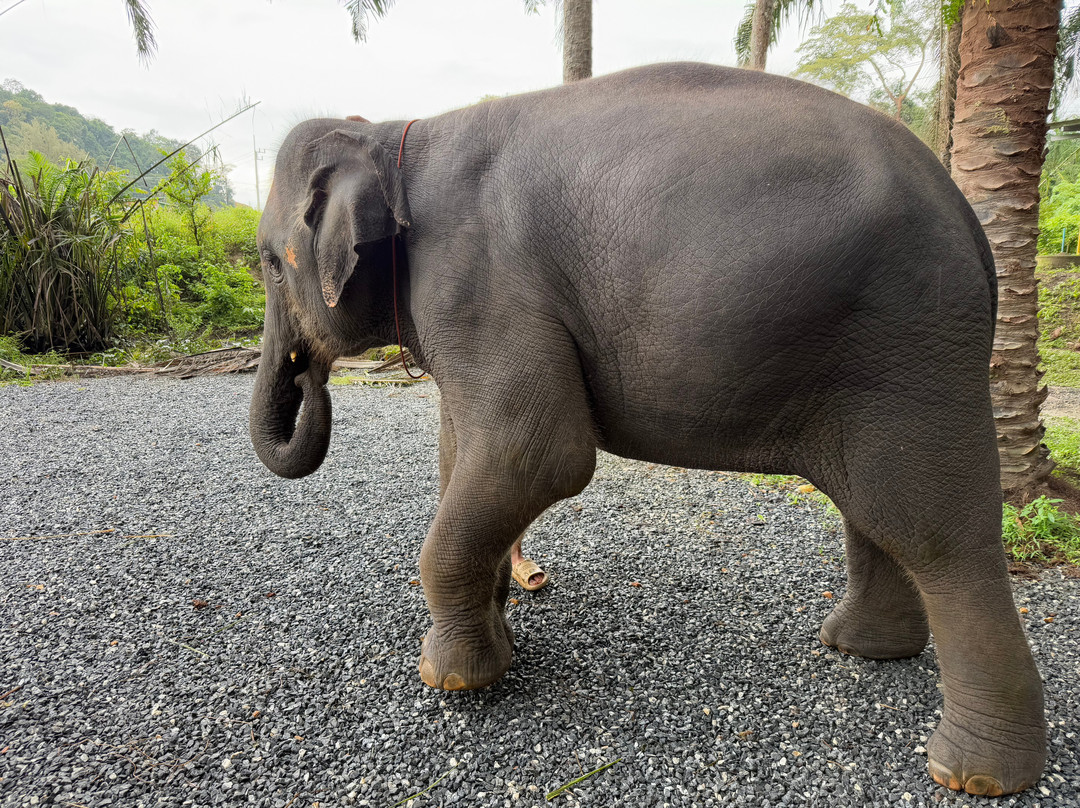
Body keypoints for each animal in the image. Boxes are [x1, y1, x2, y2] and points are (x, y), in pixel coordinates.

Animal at [248, 63, 1045, 796]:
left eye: (266, 261)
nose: (308, 377)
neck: (394, 135)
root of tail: (971, 222)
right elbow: (465, 455)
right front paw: (498, 635)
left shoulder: (476, 282)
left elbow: (540, 452)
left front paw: (453, 680)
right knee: (872, 508)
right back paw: (862, 650)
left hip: (912, 341)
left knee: (936, 533)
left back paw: (970, 774)